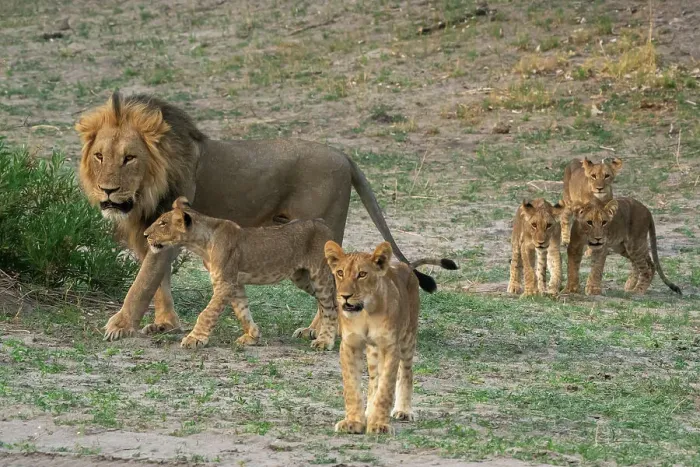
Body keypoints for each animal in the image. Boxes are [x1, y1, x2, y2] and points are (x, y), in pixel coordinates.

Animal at [143, 197, 338, 350]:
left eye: (162, 223)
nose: (145, 235)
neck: (202, 243)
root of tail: (323, 223)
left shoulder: (224, 283)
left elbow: (207, 313)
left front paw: (194, 339)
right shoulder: (234, 284)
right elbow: (242, 311)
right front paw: (252, 336)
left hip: (320, 275)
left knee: (331, 306)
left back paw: (325, 341)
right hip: (302, 278)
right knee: (327, 302)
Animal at [324, 241, 457, 435]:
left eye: (362, 274)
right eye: (340, 273)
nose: (345, 296)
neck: (366, 312)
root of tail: (405, 265)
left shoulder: (390, 346)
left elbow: (386, 387)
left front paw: (379, 424)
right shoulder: (350, 345)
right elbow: (352, 387)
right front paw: (353, 421)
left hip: (408, 338)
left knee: (406, 372)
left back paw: (403, 410)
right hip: (373, 351)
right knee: (374, 380)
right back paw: (369, 411)